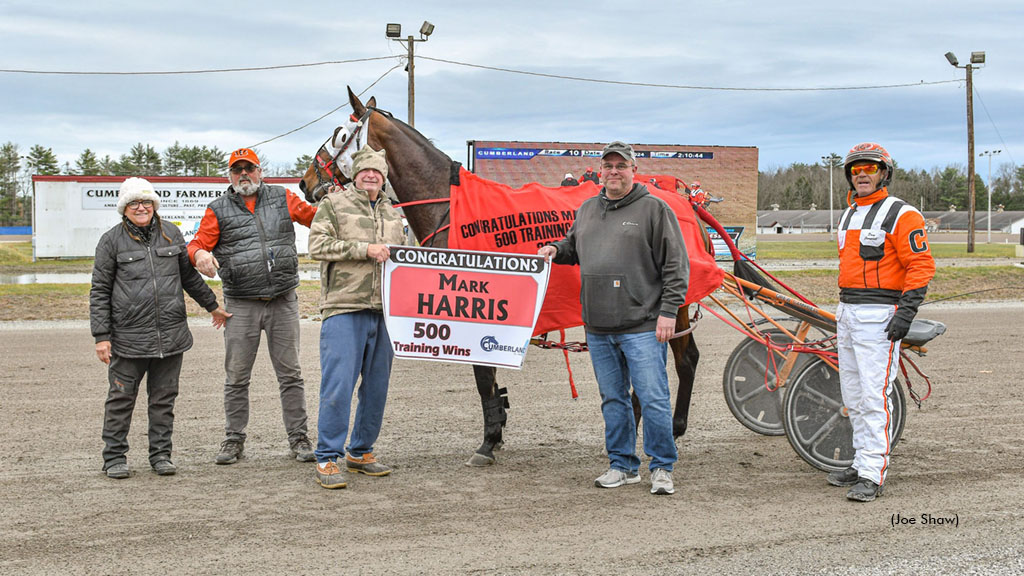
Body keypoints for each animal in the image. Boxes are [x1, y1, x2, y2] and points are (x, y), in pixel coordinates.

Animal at [296, 87, 696, 463]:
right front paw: (497, 428)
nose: (304, 181)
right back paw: (673, 427)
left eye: (339, 133)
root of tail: (684, 200)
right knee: (685, 358)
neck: (449, 206)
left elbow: (483, 377)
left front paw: (488, 441)